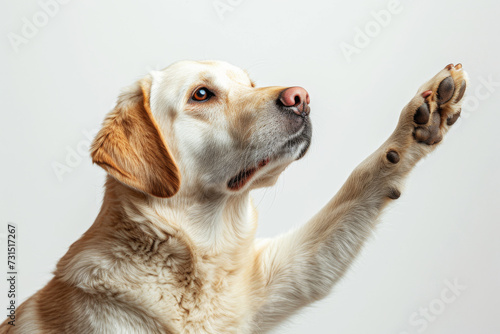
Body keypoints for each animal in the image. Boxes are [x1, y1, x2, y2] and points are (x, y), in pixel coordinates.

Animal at [0, 61, 468, 332]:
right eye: (201, 94)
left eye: (251, 83)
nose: (301, 98)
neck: (200, 252)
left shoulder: (288, 276)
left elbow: (359, 185)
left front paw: (419, 124)